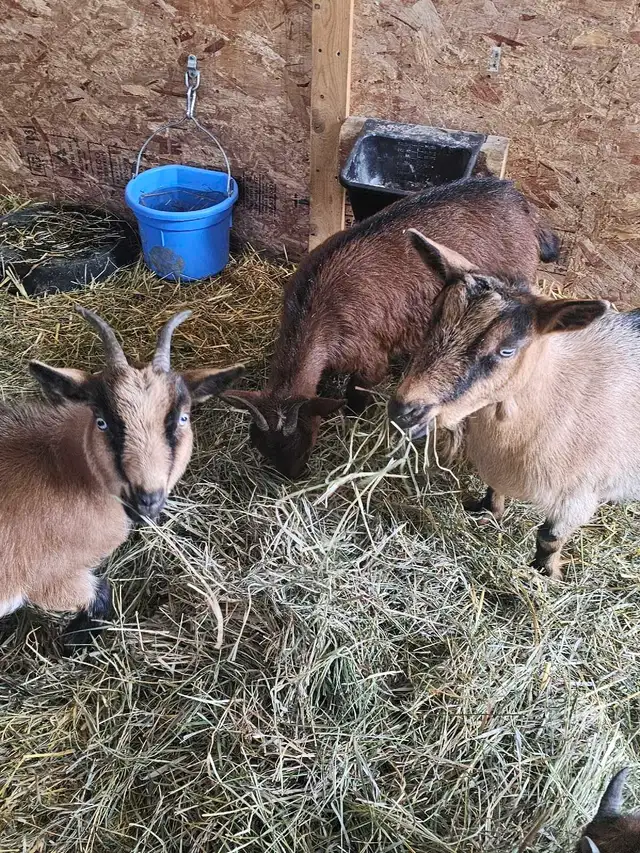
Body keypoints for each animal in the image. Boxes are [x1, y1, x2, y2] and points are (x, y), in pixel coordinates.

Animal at [0, 307, 243, 649]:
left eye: (182, 419)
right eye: (102, 422)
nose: (147, 499)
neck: (65, 466)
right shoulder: (46, 582)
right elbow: (101, 597)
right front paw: (75, 643)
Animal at [219, 177, 559, 479]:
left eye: (306, 443)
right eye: (260, 446)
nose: (291, 477)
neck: (317, 306)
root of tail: (517, 198)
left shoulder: (368, 358)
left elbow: (356, 395)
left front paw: (353, 419)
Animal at [388, 233, 640, 580]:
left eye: (507, 350)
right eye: (432, 318)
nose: (404, 410)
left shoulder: (578, 495)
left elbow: (549, 537)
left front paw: (545, 574)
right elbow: (493, 490)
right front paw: (487, 513)